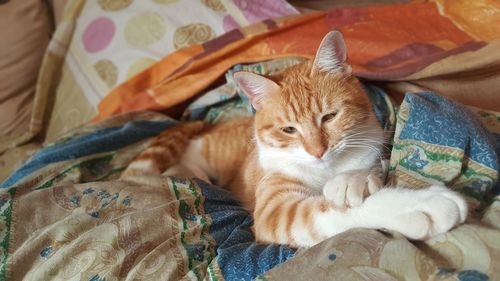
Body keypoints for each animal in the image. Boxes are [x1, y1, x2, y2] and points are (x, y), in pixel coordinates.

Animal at [122, 30, 468, 245]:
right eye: (289, 129)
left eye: (329, 116)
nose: (318, 151)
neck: (324, 170)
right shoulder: (276, 211)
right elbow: (332, 213)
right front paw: (416, 206)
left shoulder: (371, 146)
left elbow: (369, 168)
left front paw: (353, 180)